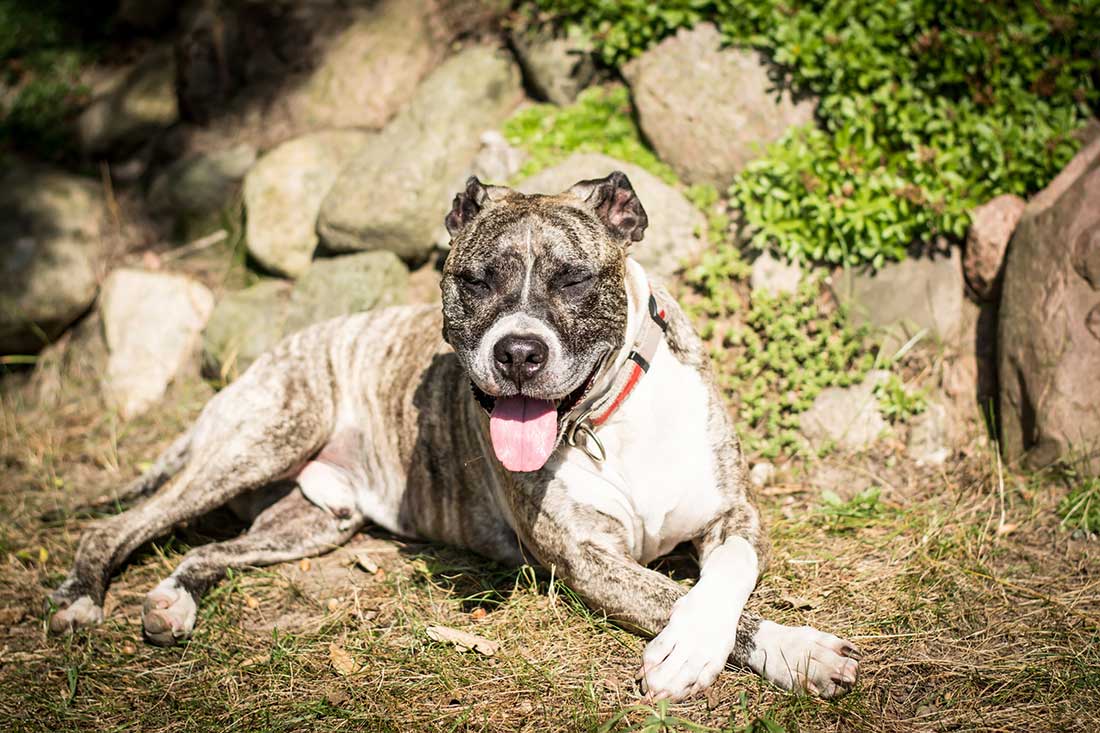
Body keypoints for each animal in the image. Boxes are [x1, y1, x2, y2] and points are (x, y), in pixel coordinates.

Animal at [49, 171, 858, 704]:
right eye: (475, 280)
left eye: (572, 280)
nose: (519, 352)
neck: (606, 419)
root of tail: (271, 354)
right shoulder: (591, 560)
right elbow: (688, 599)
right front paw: (784, 646)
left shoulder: (732, 513)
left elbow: (728, 578)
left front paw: (757, 643)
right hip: (266, 437)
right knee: (117, 526)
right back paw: (80, 599)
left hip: (315, 519)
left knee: (208, 551)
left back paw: (172, 602)